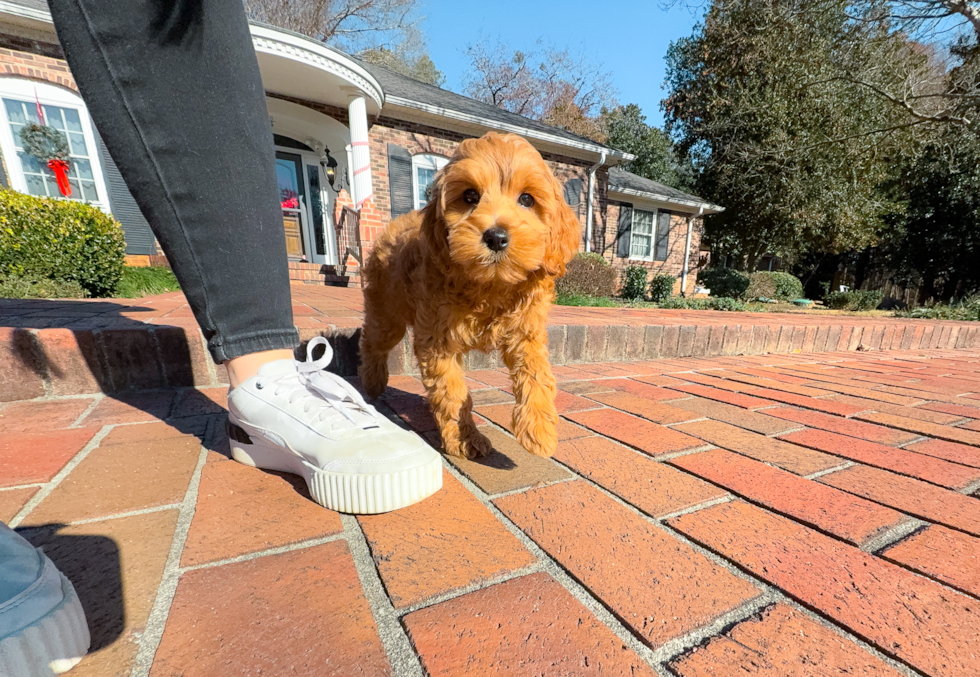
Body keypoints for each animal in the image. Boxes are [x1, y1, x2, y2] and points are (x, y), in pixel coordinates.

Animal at [358, 131, 580, 460]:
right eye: (470, 196)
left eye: (527, 199)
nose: (496, 237)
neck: (490, 286)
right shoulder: (437, 341)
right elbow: (450, 391)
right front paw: (466, 439)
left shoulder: (525, 331)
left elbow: (536, 373)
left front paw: (539, 429)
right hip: (388, 312)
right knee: (372, 342)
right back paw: (372, 382)